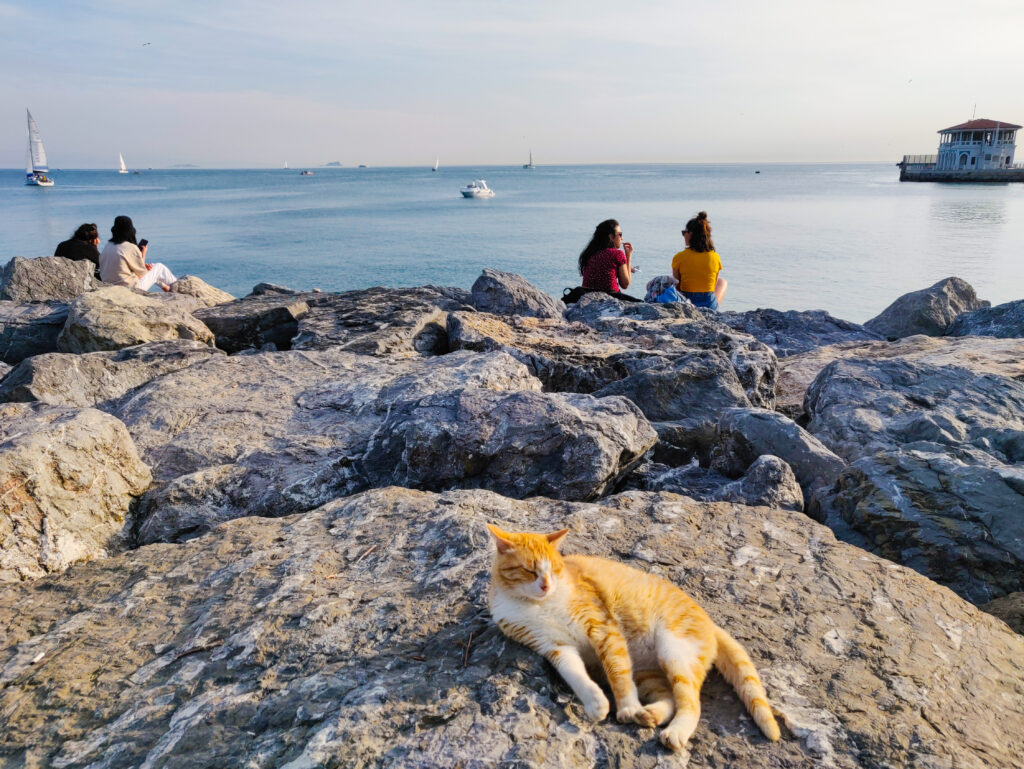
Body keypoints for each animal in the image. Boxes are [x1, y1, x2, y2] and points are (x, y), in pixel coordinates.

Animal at [483, 524, 778, 753]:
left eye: (555, 569)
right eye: (530, 571)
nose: (546, 585)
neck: (535, 604)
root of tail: (708, 618)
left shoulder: (603, 628)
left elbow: (617, 673)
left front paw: (626, 708)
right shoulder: (554, 647)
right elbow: (575, 674)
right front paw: (596, 703)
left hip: (674, 651)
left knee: (691, 703)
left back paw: (675, 731)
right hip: (649, 673)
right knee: (669, 697)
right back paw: (650, 714)